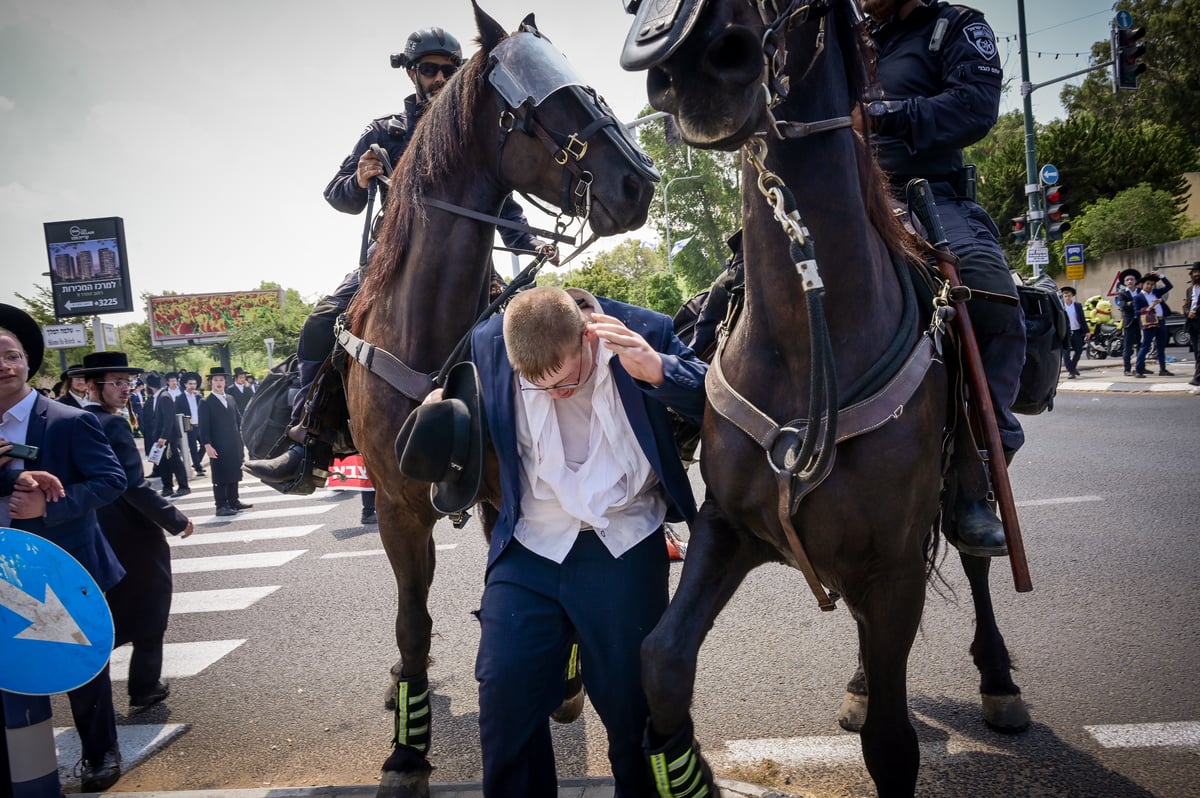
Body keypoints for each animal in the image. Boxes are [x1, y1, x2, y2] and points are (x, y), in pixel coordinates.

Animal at [343, 4, 662, 792]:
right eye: (540, 103)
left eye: (585, 84)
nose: (638, 183)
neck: (429, 331)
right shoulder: (396, 507)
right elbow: (413, 622)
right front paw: (407, 750)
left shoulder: (500, 490)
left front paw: (565, 682)